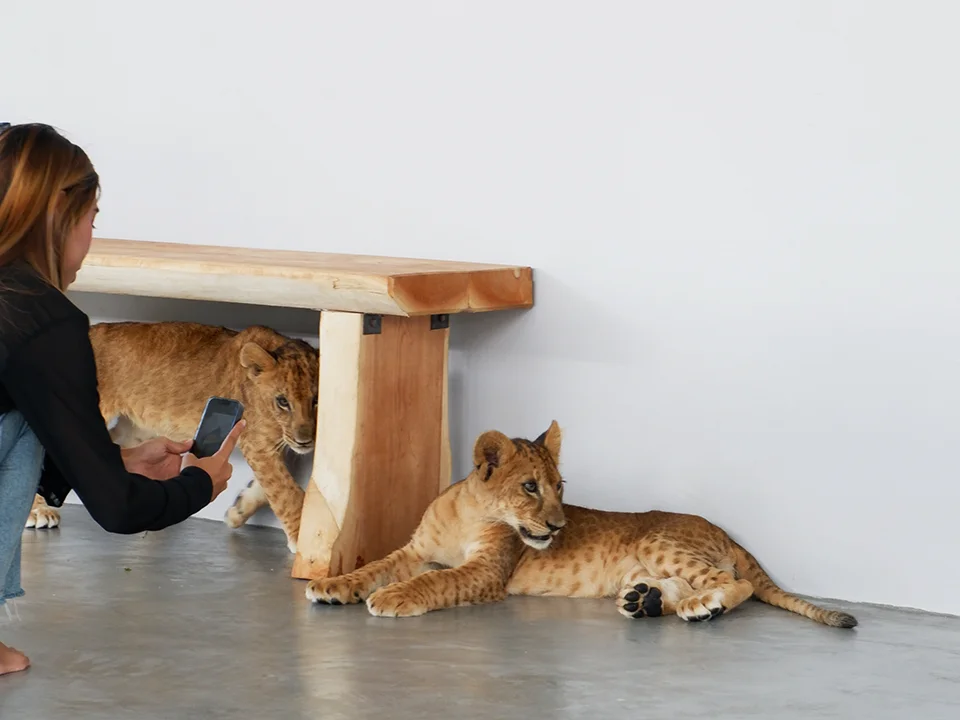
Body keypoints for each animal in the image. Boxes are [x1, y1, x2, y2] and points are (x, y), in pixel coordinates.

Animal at [27, 321, 318, 552]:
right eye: (283, 401)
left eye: (316, 401)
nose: (305, 441)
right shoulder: (257, 443)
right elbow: (287, 491)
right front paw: (302, 538)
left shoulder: (269, 446)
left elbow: (270, 487)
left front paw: (238, 511)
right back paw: (38, 511)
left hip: (135, 430)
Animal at [305, 421, 858, 628]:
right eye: (531, 487)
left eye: (560, 486)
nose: (556, 526)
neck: (469, 513)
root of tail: (725, 532)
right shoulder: (413, 552)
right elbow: (373, 566)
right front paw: (332, 586)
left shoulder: (488, 572)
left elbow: (437, 581)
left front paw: (395, 598)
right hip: (651, 562)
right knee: (683, 583)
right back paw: (645, 602)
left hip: (659, 540)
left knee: (730, 581)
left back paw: (703, 608)